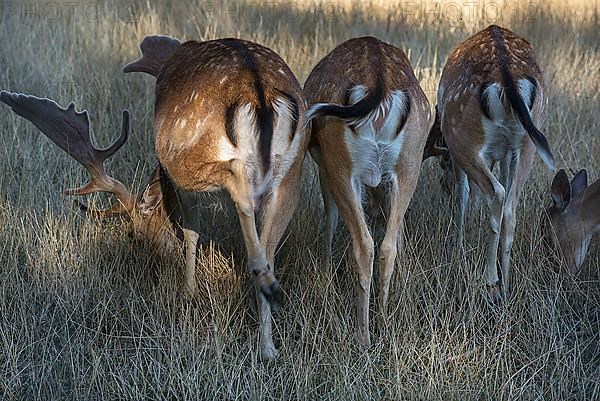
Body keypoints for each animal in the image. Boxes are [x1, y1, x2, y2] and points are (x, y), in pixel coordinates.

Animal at [125, 35, 310, 360]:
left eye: (136, 232)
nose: (141, 247)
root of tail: (260, 94)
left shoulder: (179, 186)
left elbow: (191, 231)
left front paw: (188, 292)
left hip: (188, 157)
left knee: (236, 175)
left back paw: (261, 279)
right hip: (291, 176)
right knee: (269, 248)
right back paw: (268, 345)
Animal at [304, 36, 432, 346]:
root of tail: (379, 87)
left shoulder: (325, 167)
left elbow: (329, 216)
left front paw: (325, 274)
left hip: (340, 163)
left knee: (363, 243)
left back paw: (363, 334)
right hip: (409, 163)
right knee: (387, 245)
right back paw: (383, 324)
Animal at [428, 24, 556, 300]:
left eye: (442, 166)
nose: (443, 189)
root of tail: (508, 77)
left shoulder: (455, 152)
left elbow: (464, 193)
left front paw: (457, 247)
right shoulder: (508, 153)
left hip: (462, 136)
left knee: (496, 193)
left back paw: (490, 279)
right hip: (528, 142)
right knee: (510, 204)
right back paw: (506, 285)